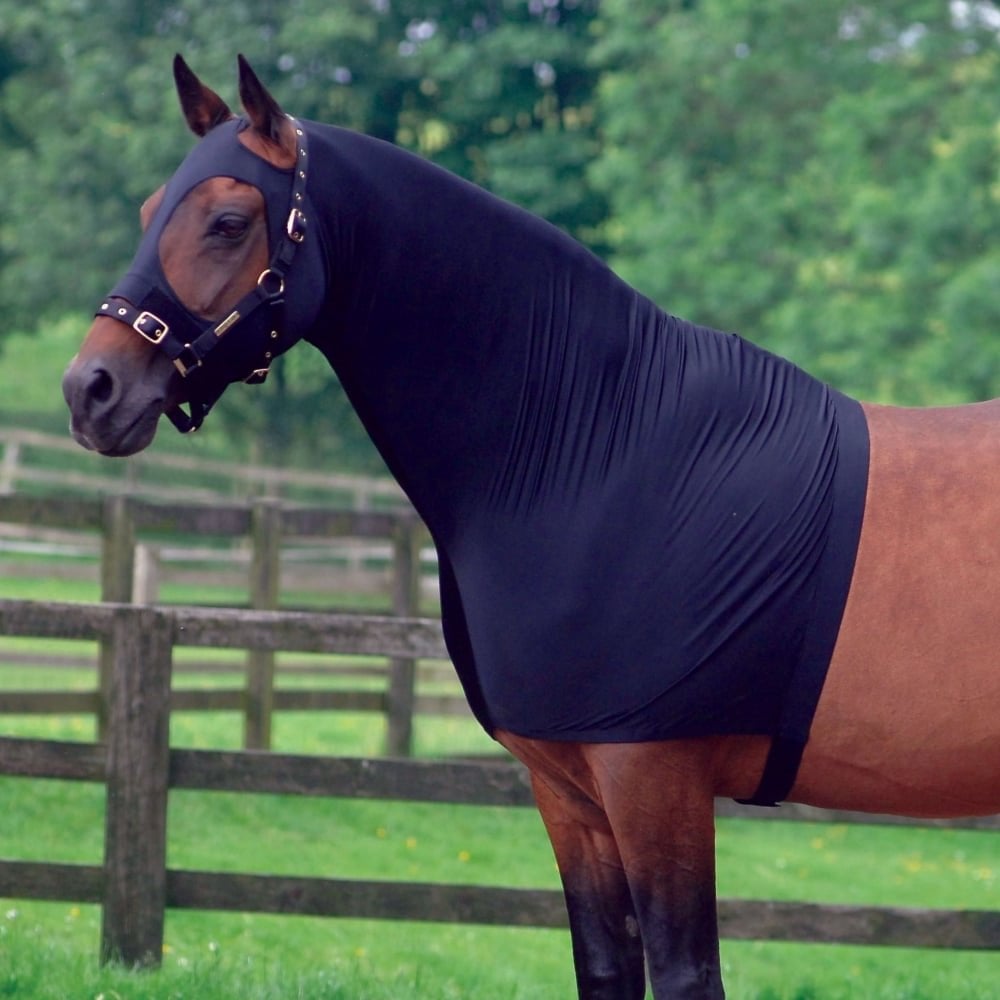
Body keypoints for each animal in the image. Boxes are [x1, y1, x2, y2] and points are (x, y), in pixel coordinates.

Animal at [61, 56, 1000, 999]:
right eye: (149, 212)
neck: (607, 449)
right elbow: (606, 966)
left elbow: (686, 972)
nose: (91, 391)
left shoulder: (653, 777)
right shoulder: (571, 794)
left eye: (228, 220)